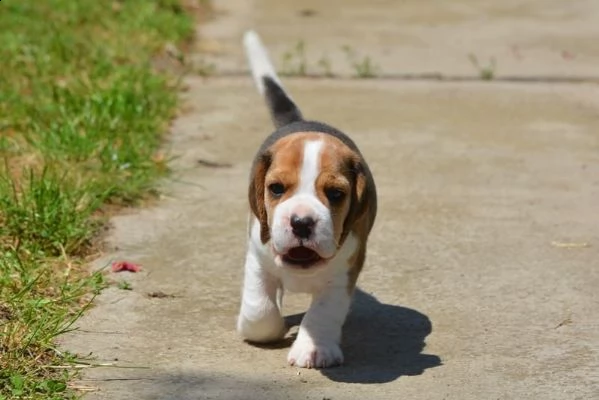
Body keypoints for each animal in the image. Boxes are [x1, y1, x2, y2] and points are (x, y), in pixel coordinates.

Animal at [237, 31, 378, 368]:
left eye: (336, 194)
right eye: (276, 188)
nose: (301, 223)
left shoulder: (344, 273)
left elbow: (323, 312)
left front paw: (314, 348)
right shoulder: (257, 256)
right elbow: (260, 312)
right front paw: (265, 327)